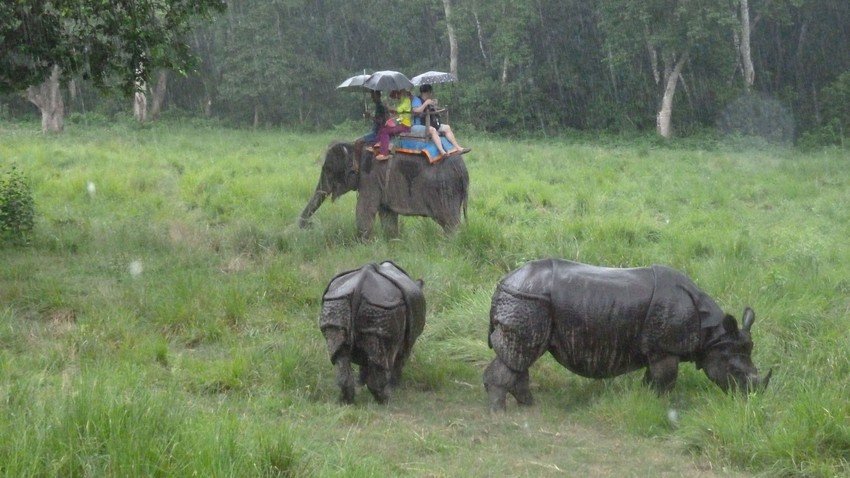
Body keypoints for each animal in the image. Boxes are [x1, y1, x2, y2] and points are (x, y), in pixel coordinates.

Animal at [298, 142, 470, 239]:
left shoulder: (370, 178)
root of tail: (464, 172)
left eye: (328, 170)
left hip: (446, 190)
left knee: (450, 223)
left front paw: (362, 243)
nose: (308, 225)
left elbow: (364, 210)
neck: (355, 147)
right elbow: (387, 215)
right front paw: (392, 242)